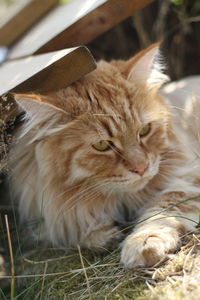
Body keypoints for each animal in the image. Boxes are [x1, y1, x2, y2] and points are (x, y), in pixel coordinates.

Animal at [11, 45, 200, 268]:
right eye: (101, 145)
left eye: (144, 130)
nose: (142, 168)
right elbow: (79, 229)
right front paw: (101, 234)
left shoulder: (188, 177)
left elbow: (162, 209)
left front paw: (144, 242)